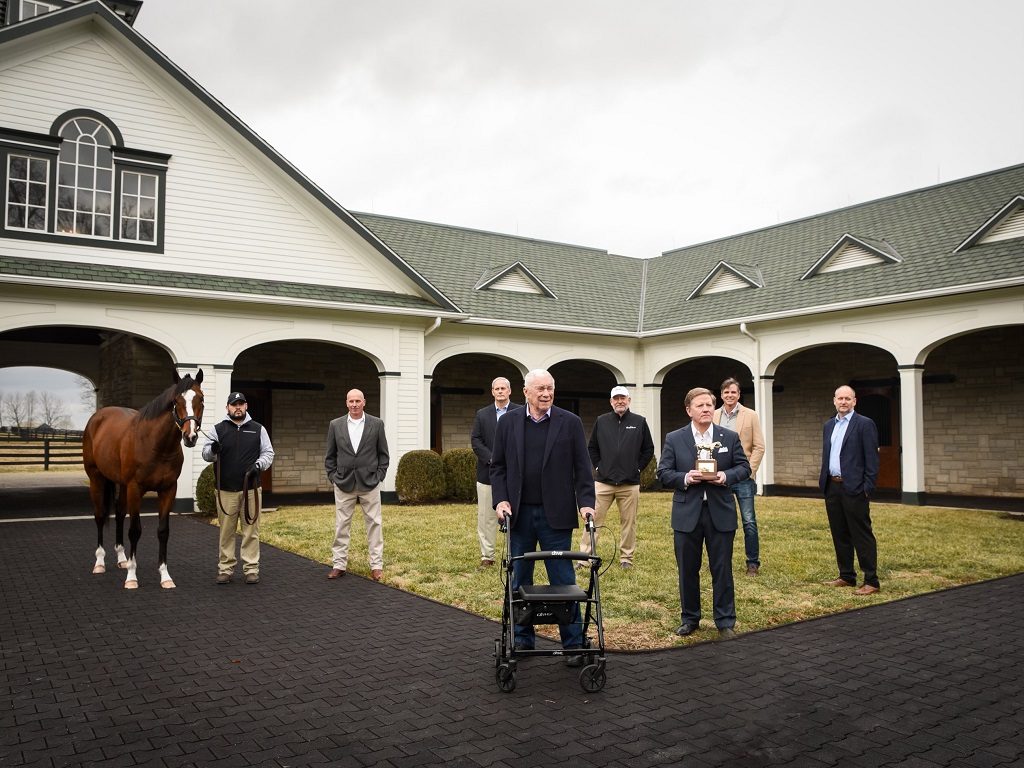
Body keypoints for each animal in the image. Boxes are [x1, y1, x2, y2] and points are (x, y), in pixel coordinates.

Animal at [83, 370, 205, 589]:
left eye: (201, 398)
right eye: (176, 401)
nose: (190, 436)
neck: (155, 444)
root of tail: (97, 418)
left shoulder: (168, 489)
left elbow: (163, 531)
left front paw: (165, 576)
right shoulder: (135, 488)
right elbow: (135, 530)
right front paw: (132, 577)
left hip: (122, 485)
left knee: (119, 513)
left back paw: (122, 558)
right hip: (96, 478)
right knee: (100, 516)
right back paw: (100, 563)